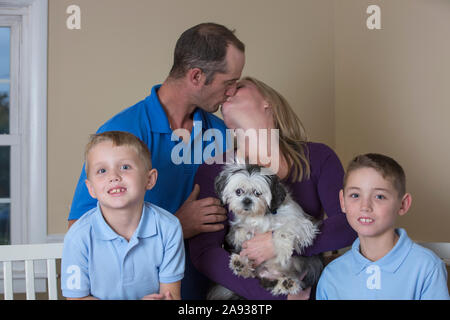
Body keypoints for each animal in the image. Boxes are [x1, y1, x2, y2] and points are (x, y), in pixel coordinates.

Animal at [207, 164, 324, 298]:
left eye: (257, 193)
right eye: (238, 191)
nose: (247, 200)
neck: (261, 216)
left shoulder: (301, 223)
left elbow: (283, 230)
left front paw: (283, 250)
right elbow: (240, 230)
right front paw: (243, 235)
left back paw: (288, 284)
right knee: (254, 275)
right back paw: (241, 264)